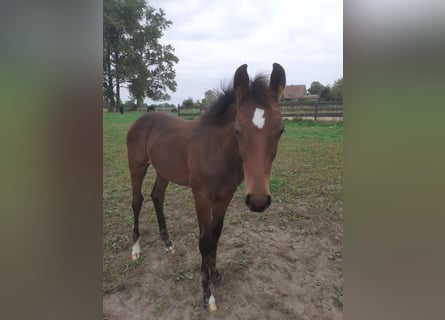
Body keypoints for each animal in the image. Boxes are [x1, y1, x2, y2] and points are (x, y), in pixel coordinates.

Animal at [125, 62, 284, 310]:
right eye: (237, 130)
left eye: (280, 131)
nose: (258, 201)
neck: (216, 149)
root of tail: (141, 120)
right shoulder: (201, 196)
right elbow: (204, 241)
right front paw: (207, 295)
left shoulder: (225, 196)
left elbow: (216, 235)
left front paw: (216, 274)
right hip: (137, 167)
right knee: (137, 201)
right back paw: (135, 249)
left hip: (164, 171)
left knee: (157, 196)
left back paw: (168, 243)